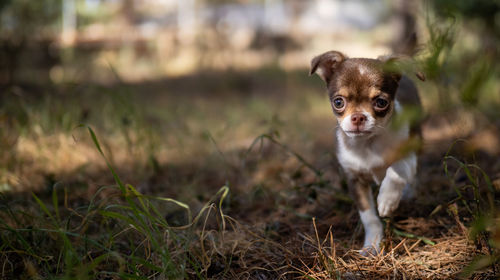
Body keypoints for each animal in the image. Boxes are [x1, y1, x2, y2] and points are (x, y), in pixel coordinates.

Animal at [310, 50, 424, 256]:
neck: (368, 144)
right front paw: (372, 245)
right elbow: (369, 217)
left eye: (381, 102)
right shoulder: (355, 180)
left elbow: (397, 170)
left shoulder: (409, 152)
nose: (358, 117)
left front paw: (387, 199)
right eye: (338, 102)